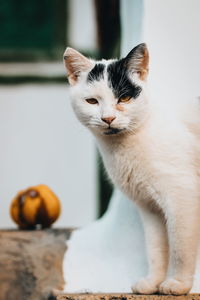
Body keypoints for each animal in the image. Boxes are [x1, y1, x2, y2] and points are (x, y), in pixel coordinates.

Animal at [63, 44, 200, 296]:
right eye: (92, 101)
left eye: (124, 97)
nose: (108, 118)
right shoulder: (149, 208)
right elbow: (155, 248)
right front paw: (152, 282)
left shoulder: (182, 198)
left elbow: (180, 247)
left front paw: (178, 284)